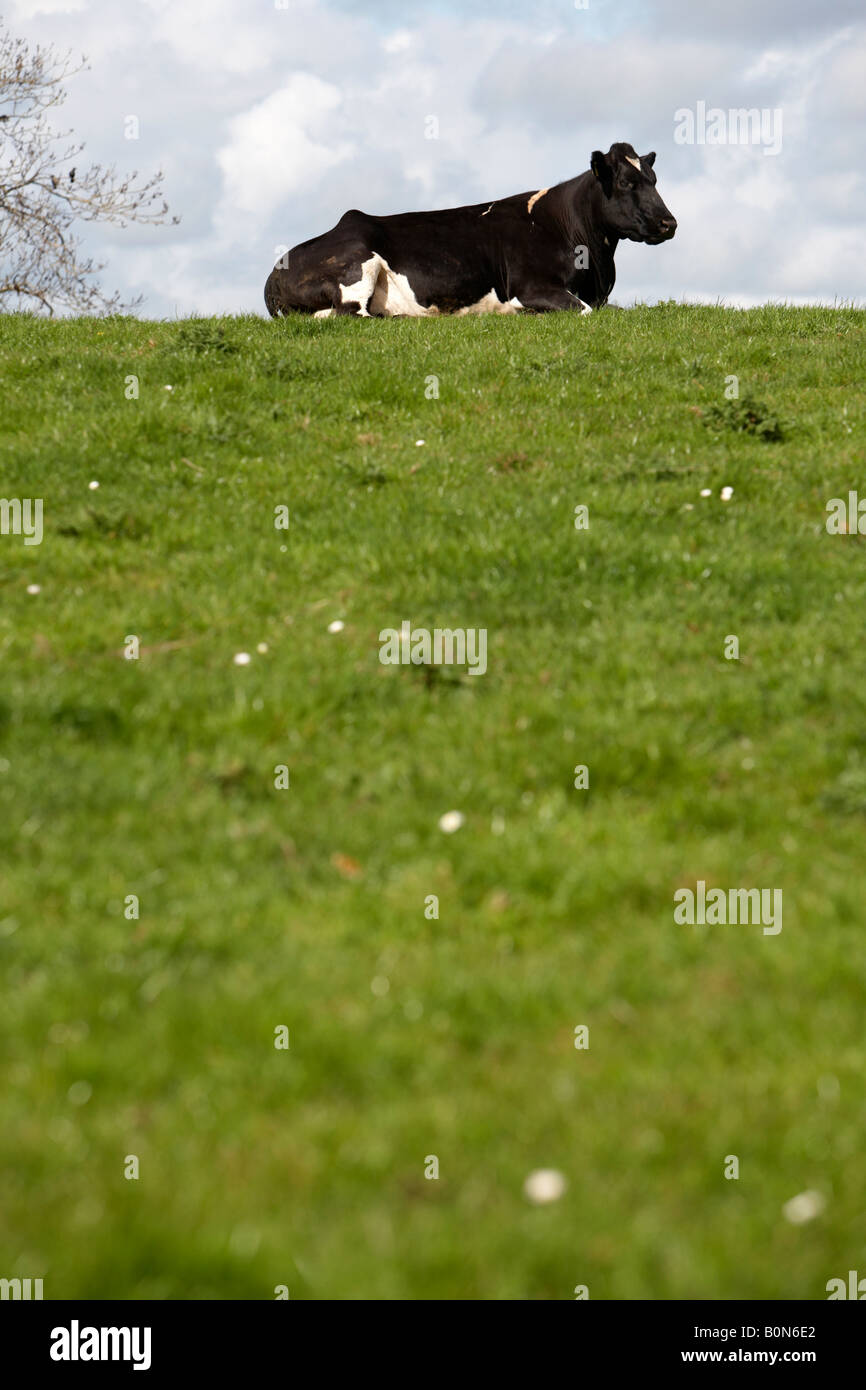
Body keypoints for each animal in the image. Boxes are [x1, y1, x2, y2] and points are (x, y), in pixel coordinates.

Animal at [264, 143, 678, 322]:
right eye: (626, 183)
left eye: (654, 179)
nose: (669, 223)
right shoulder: (532, 288)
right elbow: (585, 311)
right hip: (356, 262)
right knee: (350, 314)